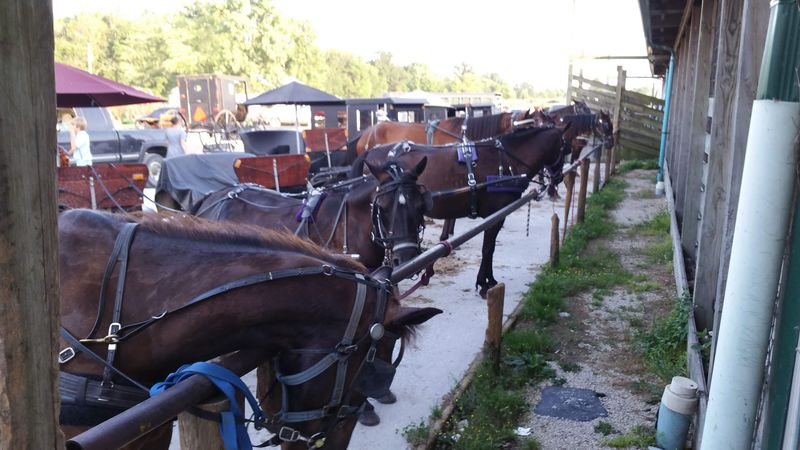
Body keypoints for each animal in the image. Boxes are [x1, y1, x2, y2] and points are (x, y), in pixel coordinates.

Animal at [350, 126, 566, 297]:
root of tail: (369, 153)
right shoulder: (496, 215)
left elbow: (489, 248)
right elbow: (488, 248)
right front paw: (485, 283)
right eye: (565, 148)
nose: (560, 178)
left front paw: (486, 281)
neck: (505, 161)